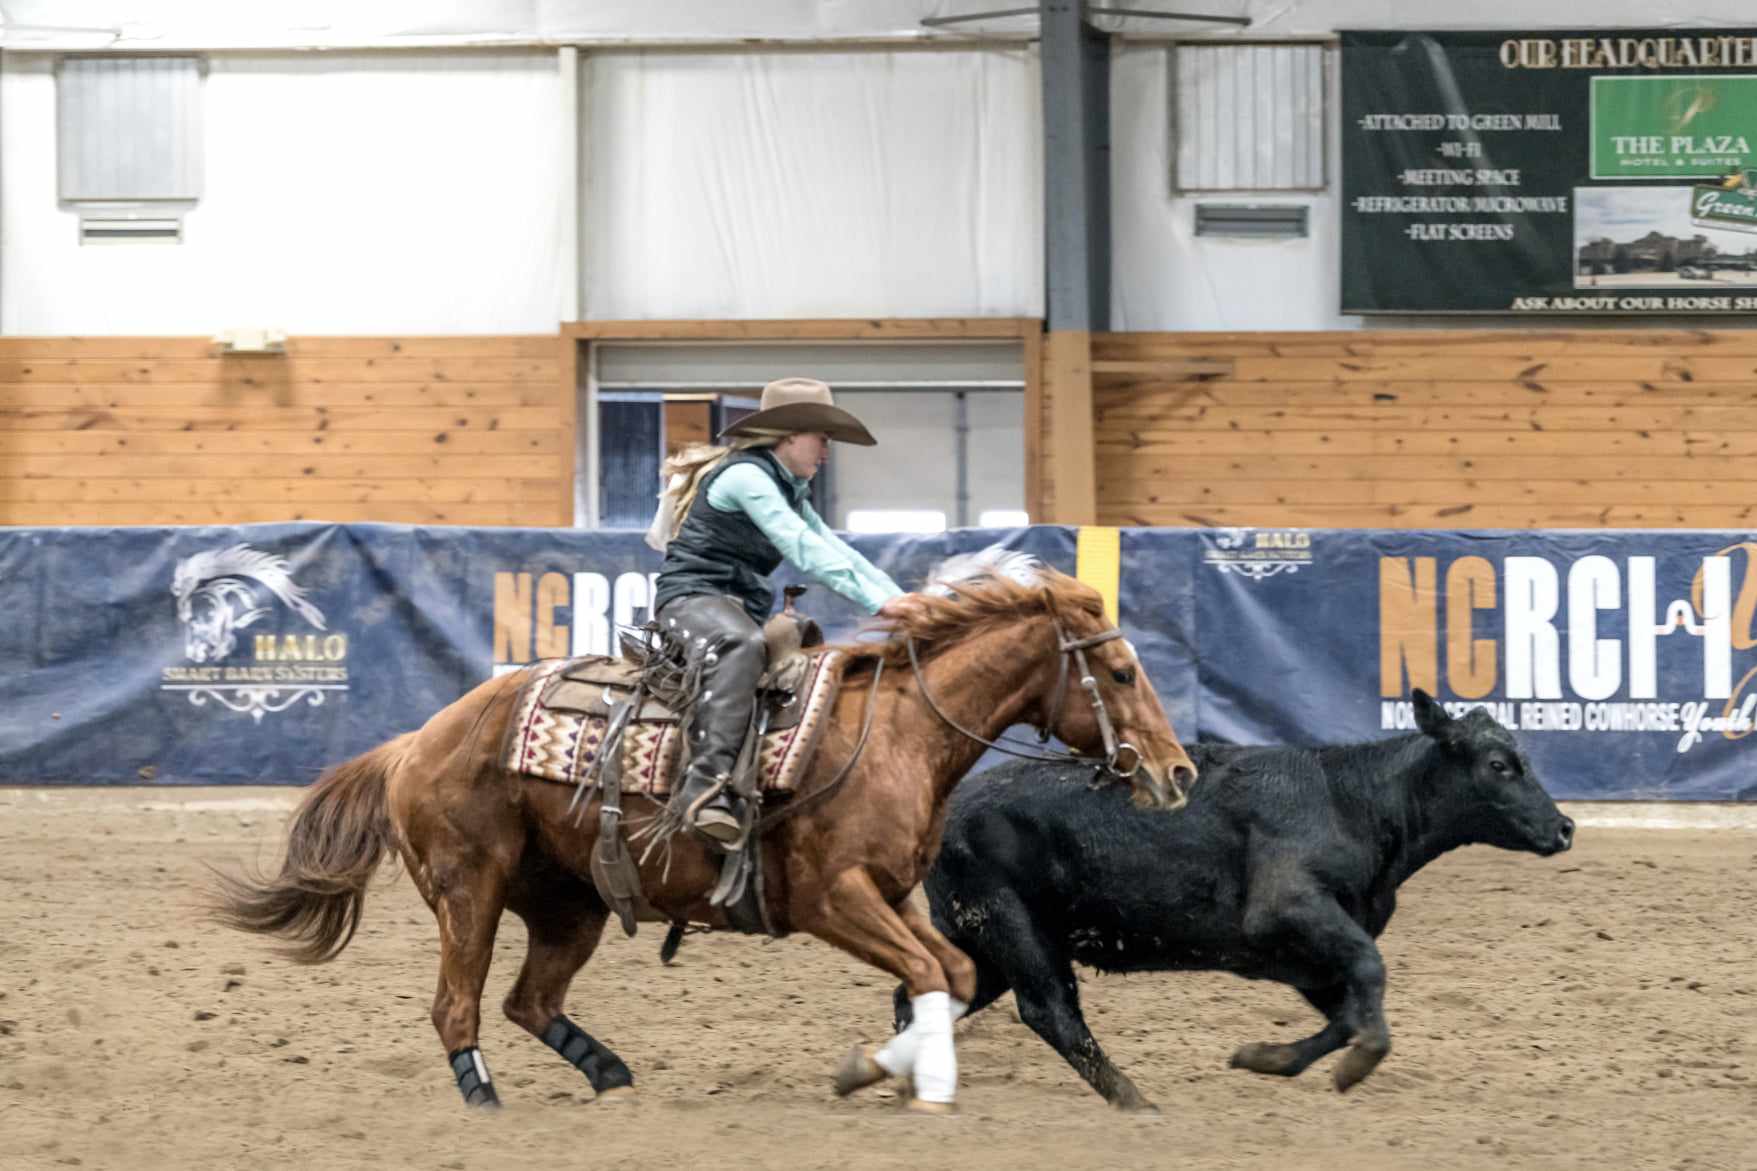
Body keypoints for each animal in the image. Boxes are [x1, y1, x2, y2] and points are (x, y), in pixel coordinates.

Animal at [209, 555, 1194, 1111]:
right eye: (1118, 669)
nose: (1176, 771)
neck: (893, 731)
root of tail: (415, 740)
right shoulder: (832, 898)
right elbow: (926, 971)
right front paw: (916, 1085)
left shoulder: (892, 893)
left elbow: (945, 972)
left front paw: (878, 1071)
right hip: (468, 889)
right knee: (458, 1004)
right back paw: (484, 1097)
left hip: (570, 905)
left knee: (529, 999)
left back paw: (608, 1074)